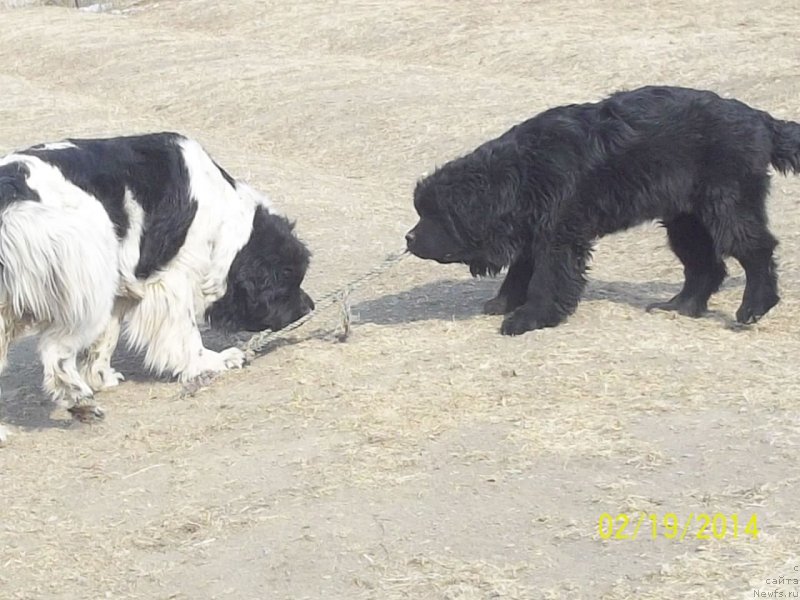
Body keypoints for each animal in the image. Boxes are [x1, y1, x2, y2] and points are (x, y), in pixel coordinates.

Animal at [0, 132, 314, 422]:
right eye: (288, 281)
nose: (309, 307)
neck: (224, 219)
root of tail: (11, 200)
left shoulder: (121, 287)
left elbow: (106, 339)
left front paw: (102, 377)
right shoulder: (172, 278)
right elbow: (186, 332)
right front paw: (214, 361)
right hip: (86, 282)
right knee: (55, 350)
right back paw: (80, 402)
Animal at [406, 86, 800, 336]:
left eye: (433, 215)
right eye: (420, 211)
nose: (408, 238)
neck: (520, 173)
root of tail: (761, 120)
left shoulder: (559, 235)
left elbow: (546, 278)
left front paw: (530, 318)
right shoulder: (536, 228)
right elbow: (520, 271)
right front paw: (505, 302)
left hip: (727, 204)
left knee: (756, 250)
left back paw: (753, 307)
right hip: (686, 220)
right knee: (707, 265)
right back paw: (681, 306)